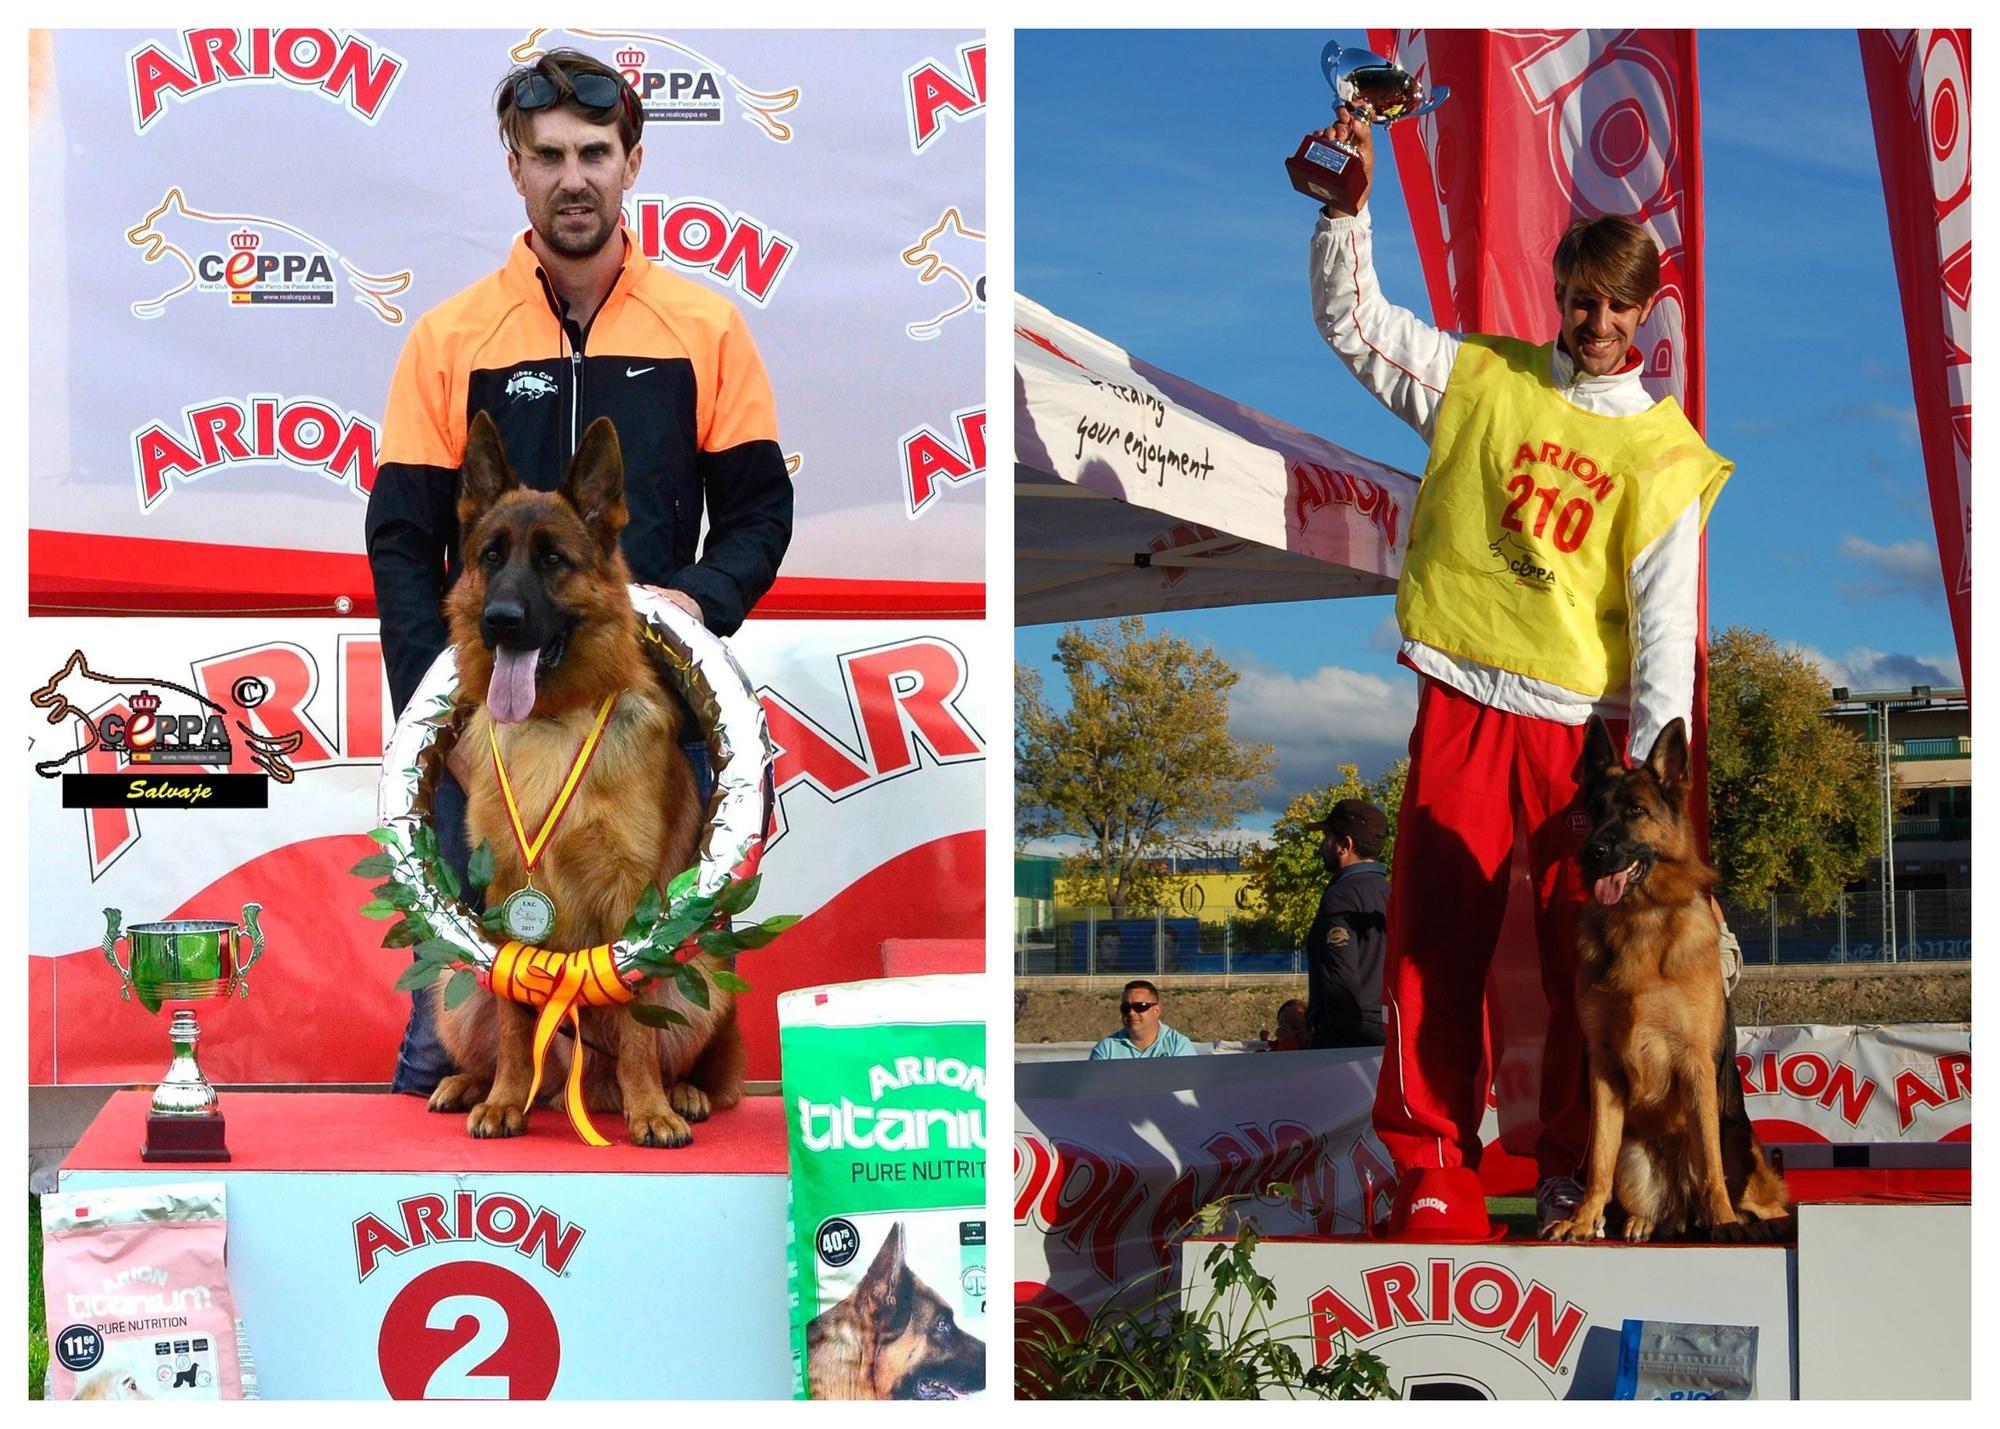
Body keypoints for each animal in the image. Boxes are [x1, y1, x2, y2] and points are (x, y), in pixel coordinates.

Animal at [426, 408, 748, 1136]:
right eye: (492, 557)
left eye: (553, 560)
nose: (500, 621)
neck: (555, 719)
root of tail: (581, 1087)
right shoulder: (504, 897)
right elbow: (514, 1016)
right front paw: (503, 1100)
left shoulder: (632, 900)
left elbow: (632, 1016)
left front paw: (651, 1111)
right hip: (453, 989)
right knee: (494, 1029)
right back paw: (474, 1084)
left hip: (704, 981)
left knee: (683, 1054)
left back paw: (679, 1093)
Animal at [1536, 716, 1792, 1240]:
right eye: (1594, 811)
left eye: (1635, 811)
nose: (1592, 853)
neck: (1640, 920)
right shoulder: (1603, 1066)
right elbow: (1598, 1159)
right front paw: (1581, 1220)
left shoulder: (1694, 1064)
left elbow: (1709, 1160)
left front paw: (1725, 1223)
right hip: (1636, 1155)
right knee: (1649, 1198)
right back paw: (1641, 1221)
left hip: (1740, 1141)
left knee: (1754, 1195)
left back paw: (1748, 1221)